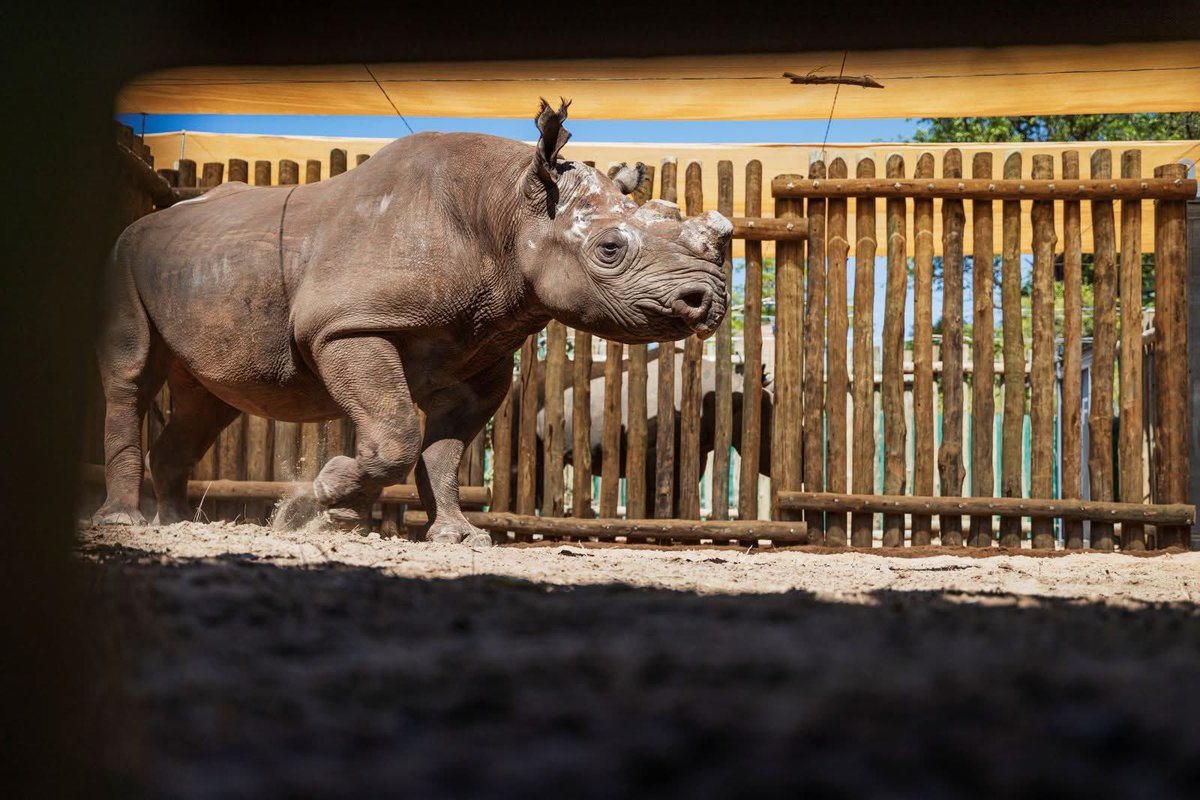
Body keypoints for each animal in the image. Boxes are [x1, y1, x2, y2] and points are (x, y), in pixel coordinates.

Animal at [93, 100, 732, 545]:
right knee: (132, 377)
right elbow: (398, 429)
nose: (709, 300)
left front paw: (454, 535)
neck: (507, 206)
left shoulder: (482, 355)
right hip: (124, 256)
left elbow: (443, 451)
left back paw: (174, 522)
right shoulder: (347, 324)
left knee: (209, 402)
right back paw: (126, 522)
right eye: (608, 250)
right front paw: (325, 498)